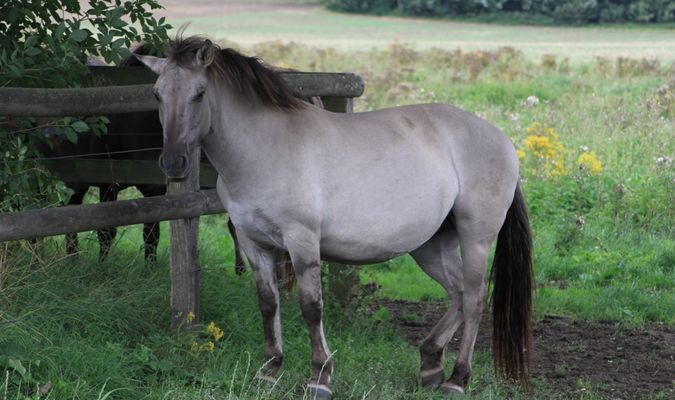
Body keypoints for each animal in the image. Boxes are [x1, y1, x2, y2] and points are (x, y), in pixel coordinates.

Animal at [137, 36, 533, 398]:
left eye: (200, 93)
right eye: (157, 94)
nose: (173, 164)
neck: (264, 148)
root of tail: (502, 140)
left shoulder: (302, 241)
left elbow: (311, 308)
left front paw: (320, 377)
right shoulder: (254, 243)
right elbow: (268, 304)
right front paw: (269, 371)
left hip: (475, 238)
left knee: (475, 298)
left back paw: (457, 379)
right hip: (432, 244)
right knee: (458, 292)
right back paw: (430, 364)